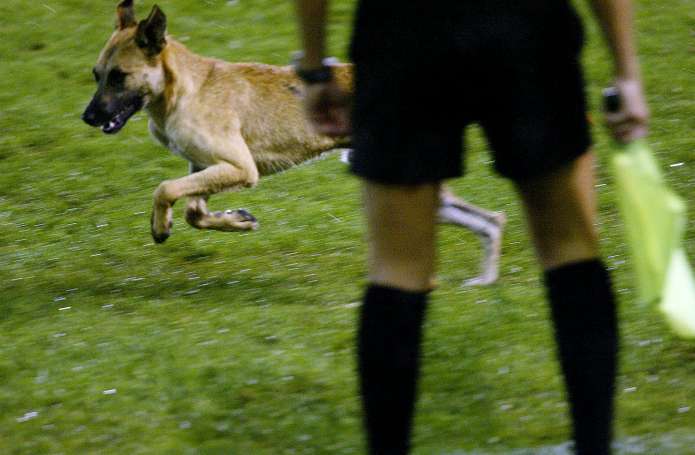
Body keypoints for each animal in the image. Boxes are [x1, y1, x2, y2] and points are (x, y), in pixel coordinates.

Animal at [81, 0, 506, 284]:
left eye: (119, 77)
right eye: (97, 74)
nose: (88, 117)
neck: (184, 88)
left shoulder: (239, 167)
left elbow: (165, 188)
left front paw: (159, 226)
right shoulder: (207, 168)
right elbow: (194, 212)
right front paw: (238, 220)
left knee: (486, 222)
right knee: (491, 222)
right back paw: (482, 283)